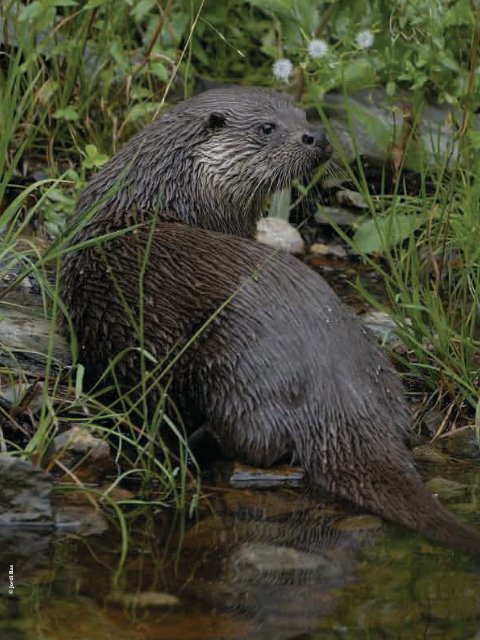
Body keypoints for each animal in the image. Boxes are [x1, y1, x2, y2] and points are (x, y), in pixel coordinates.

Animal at [60, 86, 480, 556]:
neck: (166, 198)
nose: (317, 138)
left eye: (304, 116)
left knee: (255, 443)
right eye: (267, 127)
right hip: (378, 374)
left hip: (235, 376)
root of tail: (336, 395)